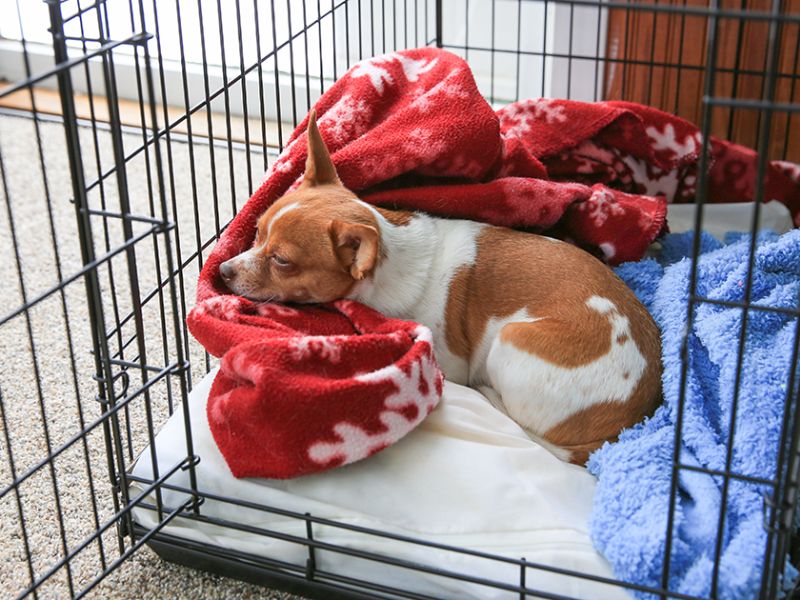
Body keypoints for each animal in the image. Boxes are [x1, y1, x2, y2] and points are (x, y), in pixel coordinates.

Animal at [220, 111, 664, 464]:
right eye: (256, 233)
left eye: (282, 262)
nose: (223, 270)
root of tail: (625, 424)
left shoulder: (450, 360)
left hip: (512, 339)